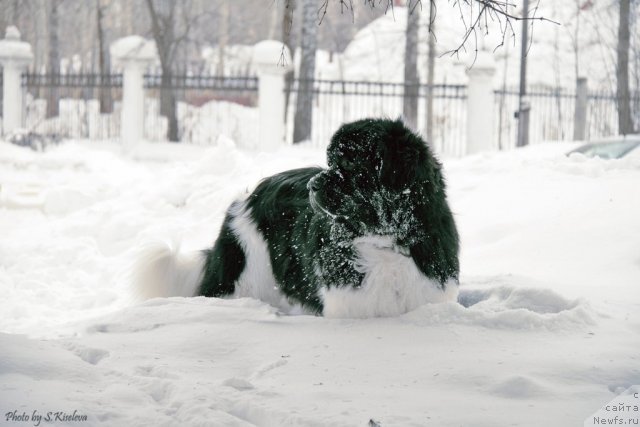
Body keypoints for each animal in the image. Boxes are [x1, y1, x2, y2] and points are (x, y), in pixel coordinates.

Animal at [135, 117, 458, 318]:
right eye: (330, 162)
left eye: (349, 164)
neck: (383, 242)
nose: (313, 185)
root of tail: (249, 197)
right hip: (244, 276)